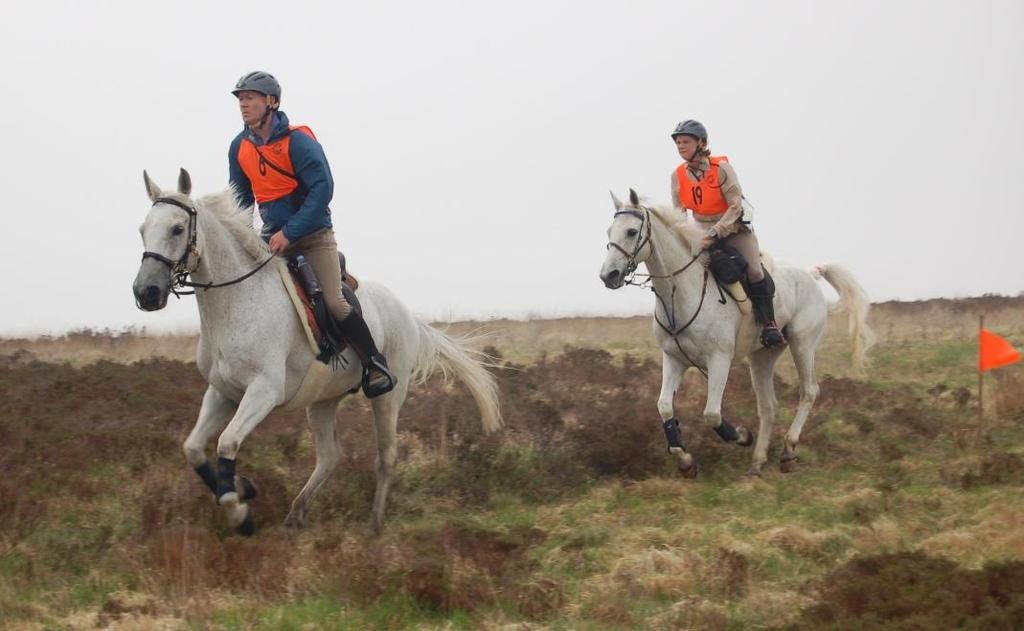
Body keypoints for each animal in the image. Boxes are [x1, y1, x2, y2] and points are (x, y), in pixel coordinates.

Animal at [134, 169, 501, 532]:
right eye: (142, 230)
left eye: (177, 228)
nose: (146, 292)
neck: (236, 302)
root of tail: (408, 313)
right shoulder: (222, 391)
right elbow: (194, 449)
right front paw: (241, 487)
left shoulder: (263, 392)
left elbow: (227, 442)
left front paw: (239, 512)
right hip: (323, 400)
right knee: (329, 455)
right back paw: (296, 513)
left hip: (388, 396)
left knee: (386, 454)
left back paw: (374, 522)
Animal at [598, 189, 872, 475]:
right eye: (609, 231)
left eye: (631, 232)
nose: (609, 275)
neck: (681, 293)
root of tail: (810, 274)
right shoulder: (674, 359)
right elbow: (664, 407)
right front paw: (685, 460)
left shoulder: (719, 359)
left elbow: (711, 414)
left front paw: (741, 435)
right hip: (762, 356)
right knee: (768, 405)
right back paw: (757, 462)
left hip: (802, 344)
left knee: (809, 391)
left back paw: (787, 450)